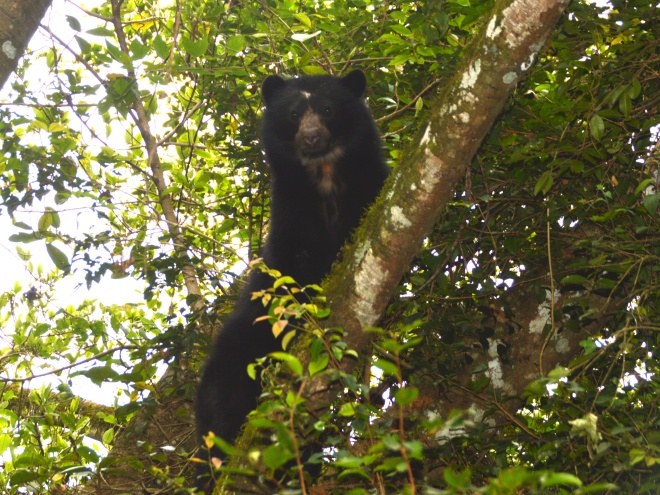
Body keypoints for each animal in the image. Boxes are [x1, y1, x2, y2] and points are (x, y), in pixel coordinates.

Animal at [193, 69, 390, 488]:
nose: (311, 137)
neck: (324, 176)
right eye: (295, 113)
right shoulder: (290, 215)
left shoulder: (370, 191)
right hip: (232, 368)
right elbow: (288, 275)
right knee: (224, 413)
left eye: (329, 109)